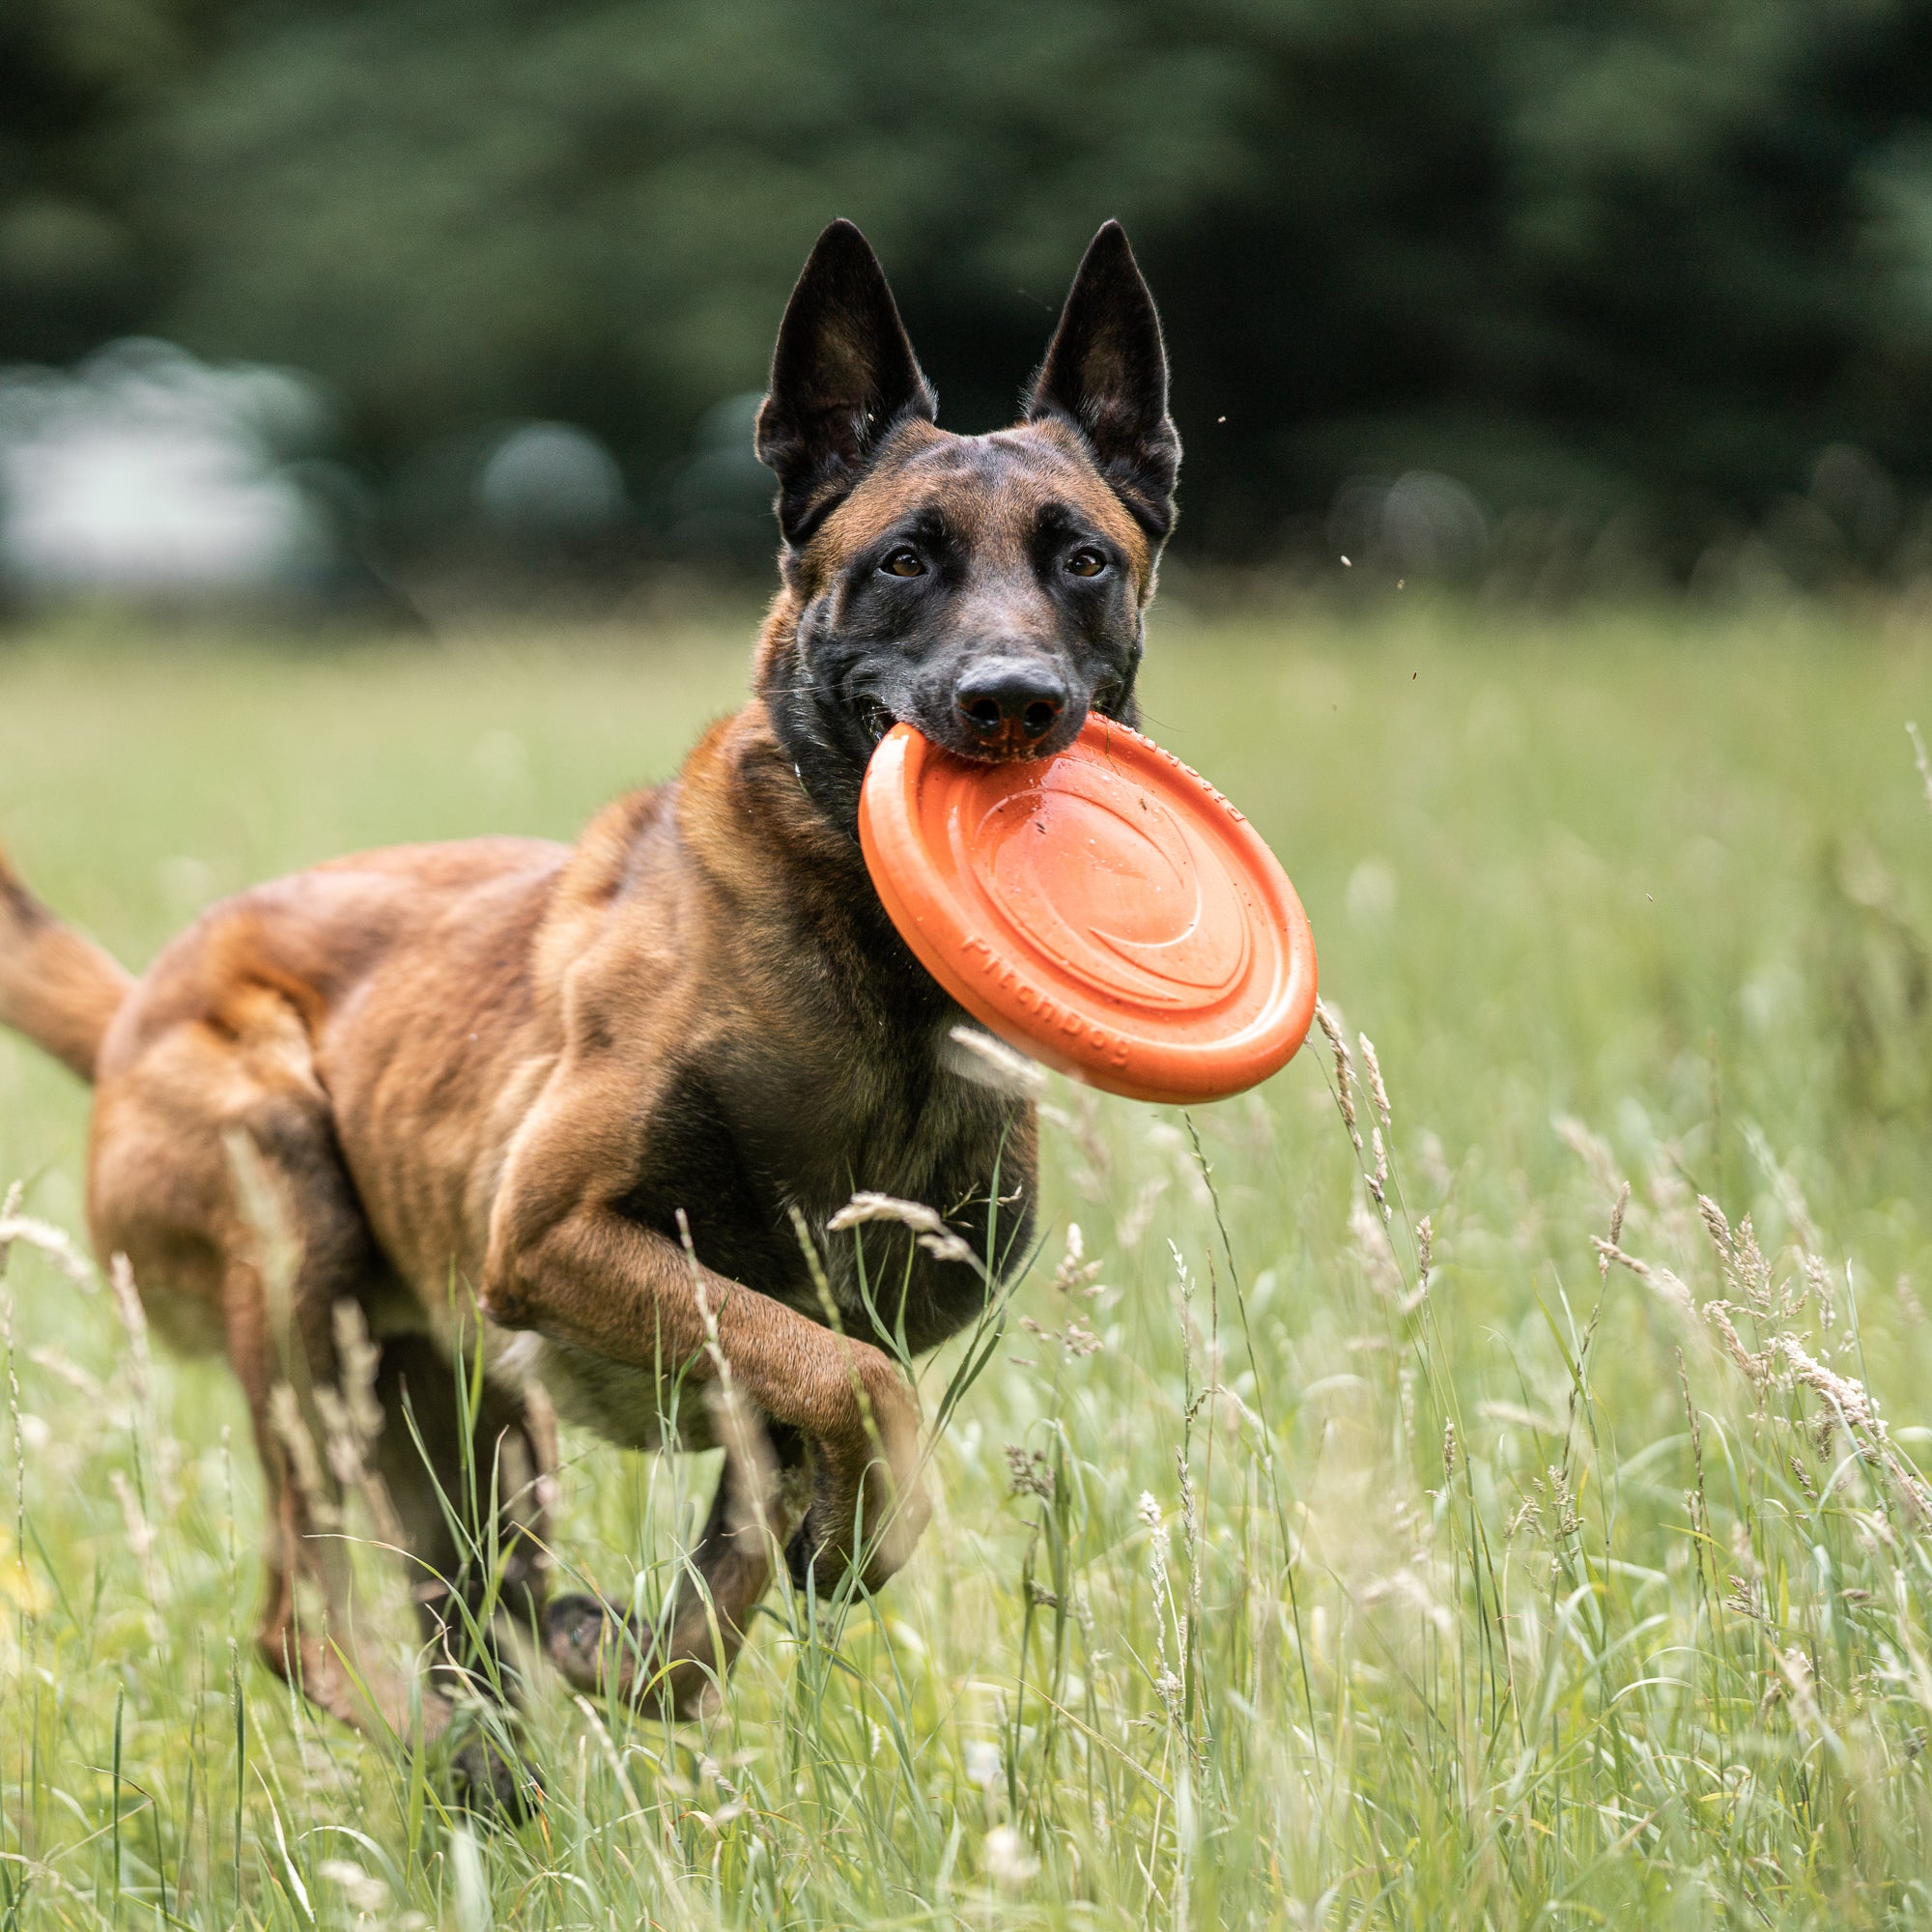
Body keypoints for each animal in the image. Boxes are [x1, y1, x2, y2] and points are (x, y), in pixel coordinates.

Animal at [0, 219, 1175, 1801]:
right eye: (903, 560)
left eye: (1085, 560)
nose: (1013, 703)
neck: (868, 977)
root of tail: (138, 1007)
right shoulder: (554, 1237)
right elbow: (854, 1385)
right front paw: (860, 1539)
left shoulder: (826, 1326)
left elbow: (737, 1551)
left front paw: (672, 1627)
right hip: (296, 1250)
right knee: (299, 1620)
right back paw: (444, 1753)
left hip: (471, 1433)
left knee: (461, 1610)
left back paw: (497, 1766)